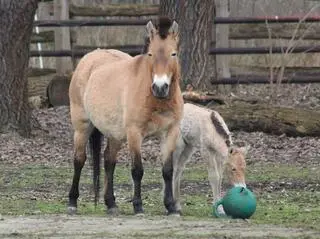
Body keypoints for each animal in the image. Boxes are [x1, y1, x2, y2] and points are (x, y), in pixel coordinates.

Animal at [67, 15, 182, 216]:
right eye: (150, 54)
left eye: (173, 54)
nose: (160, 87)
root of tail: (88, 59)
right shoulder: (134, 134)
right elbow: (137, 170)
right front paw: (138, 206)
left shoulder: (170, 132)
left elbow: (168, 170)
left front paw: (171, 206)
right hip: (82, 127)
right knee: (79, 160)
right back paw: (72, 202)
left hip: (115, 133)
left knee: (109, 161)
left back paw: (111, 204)